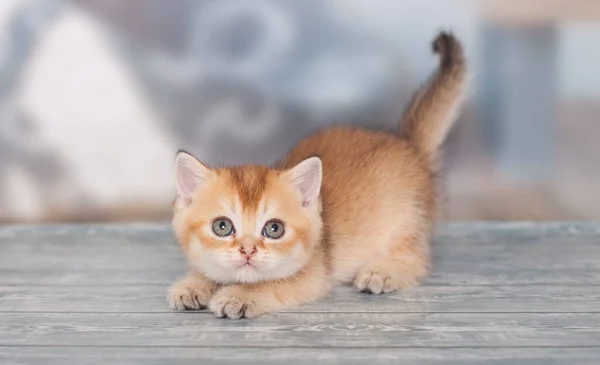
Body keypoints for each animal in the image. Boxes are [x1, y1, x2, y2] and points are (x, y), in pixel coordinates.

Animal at [166, 31, 466, 318]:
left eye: (274, 229)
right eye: (222, 226)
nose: (248, 250)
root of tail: (408, 143)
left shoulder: (315, 275)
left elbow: (270, 283)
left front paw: (237, 296)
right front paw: (193, 284)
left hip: (407, 220)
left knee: (418, 260)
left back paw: (383, 272)